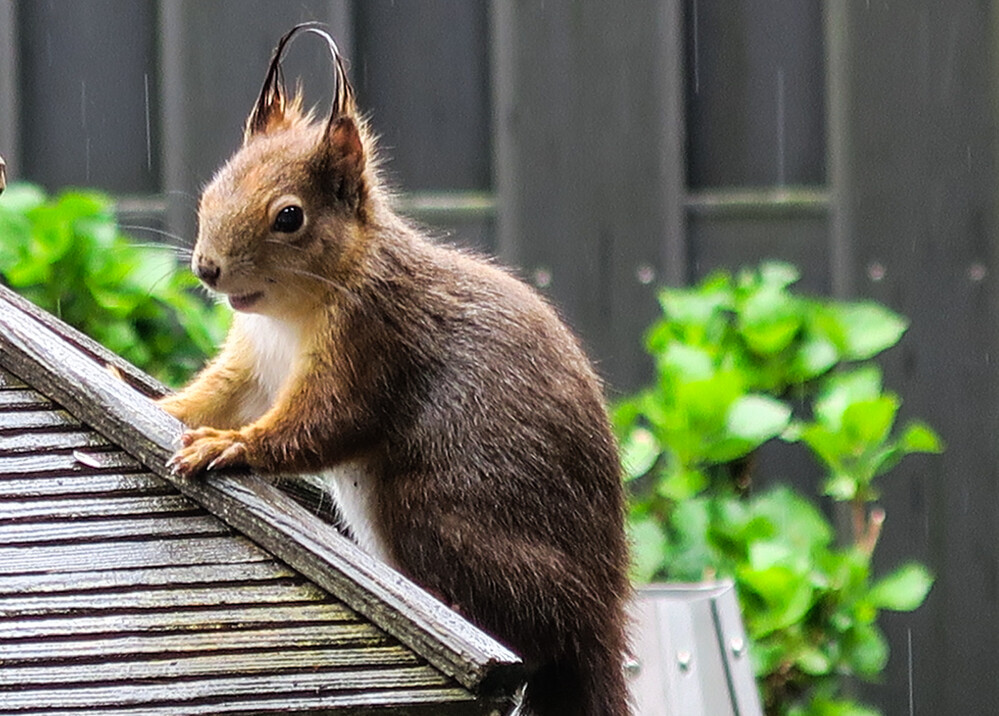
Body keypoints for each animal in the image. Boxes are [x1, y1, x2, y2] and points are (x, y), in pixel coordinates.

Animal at [162, 23, 632, 716]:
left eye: (289, 217)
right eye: (211, 191)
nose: (207, 267)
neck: (291, 313)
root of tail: (599, 620)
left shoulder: (374, 343)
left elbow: (325, 422)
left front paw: (229, 447)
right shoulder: (251, 365)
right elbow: (218, 395)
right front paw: (165, 408)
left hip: (439, 516)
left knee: (529, 639)